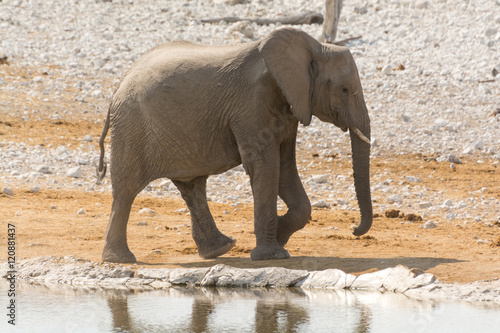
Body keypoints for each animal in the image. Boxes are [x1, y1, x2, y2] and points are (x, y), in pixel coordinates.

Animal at [97, 27, 372, 262]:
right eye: (344, 89)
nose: (354, 230)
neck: (314, 47)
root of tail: (117, 90)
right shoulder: (251, 105)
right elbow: (266, 166)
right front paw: (272, 254)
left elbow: (285, 167)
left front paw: (280, 236)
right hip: (131, 125)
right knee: (126, 190)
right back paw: (120, 259)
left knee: (192, 187)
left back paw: (219, 249)